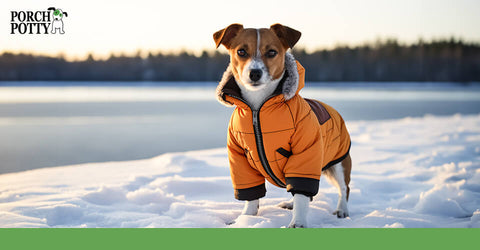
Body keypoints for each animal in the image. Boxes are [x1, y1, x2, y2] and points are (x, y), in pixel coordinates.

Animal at [216, 23, 350, 229]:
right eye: (241, 51)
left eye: (272, 52)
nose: (255, 73)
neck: (258, 109)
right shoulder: (239, 157)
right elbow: (251, 196)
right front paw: (245, 218)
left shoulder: (306, 154)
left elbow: (302, 194)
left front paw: (298, 223)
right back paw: (289, 204)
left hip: (338, 163)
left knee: (343, 187)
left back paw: (342, 209)